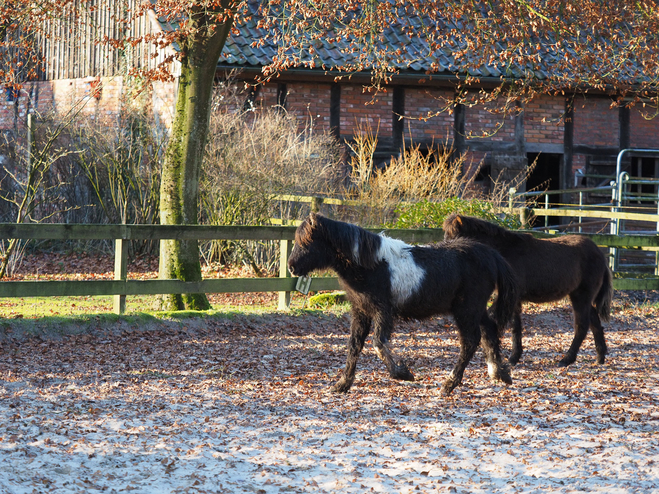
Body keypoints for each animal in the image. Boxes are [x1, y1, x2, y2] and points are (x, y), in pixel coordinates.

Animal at [288, 213, 520, 398]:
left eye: (307, 241)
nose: (291, 267)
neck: (371, 264)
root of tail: (492, 255)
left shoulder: (383, 311)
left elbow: (378, 344)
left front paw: (403, 374)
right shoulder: (361, 312)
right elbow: (354, 346)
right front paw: (342, 384)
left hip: (466, 310)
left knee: (470, 342)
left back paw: (449, 385)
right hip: (476, 309)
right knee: (489, 330)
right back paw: (500, 373)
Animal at [444, 212, 612, 366]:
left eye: (454, 237)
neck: (505, 251)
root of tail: (600, 254)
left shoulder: (510, 296)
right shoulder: (514, 299)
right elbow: (515, 326)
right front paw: (514, 357)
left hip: (581, 296)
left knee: (581, 326)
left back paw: (567, 359)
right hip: (581, 296)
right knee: (594, 321)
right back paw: (600, 357)